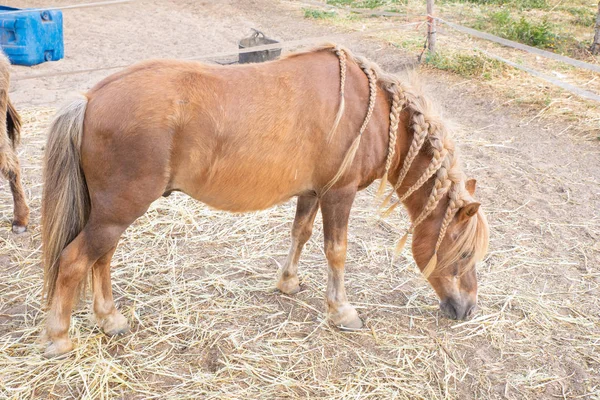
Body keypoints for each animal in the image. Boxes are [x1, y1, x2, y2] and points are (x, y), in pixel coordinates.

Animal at [41, 43, 488, 356]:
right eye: (465, 255)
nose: (467, 309)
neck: (373, 111)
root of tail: (91, 98)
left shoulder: (312, 193)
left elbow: (300, 234)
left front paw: (288, 282)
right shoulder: (338, 195)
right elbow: (336, 251)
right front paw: (342, 311)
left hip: (110, 214)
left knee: (100, 259)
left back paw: (109, 319)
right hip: (117, 213)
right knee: (76, 260)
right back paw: (59, 337)